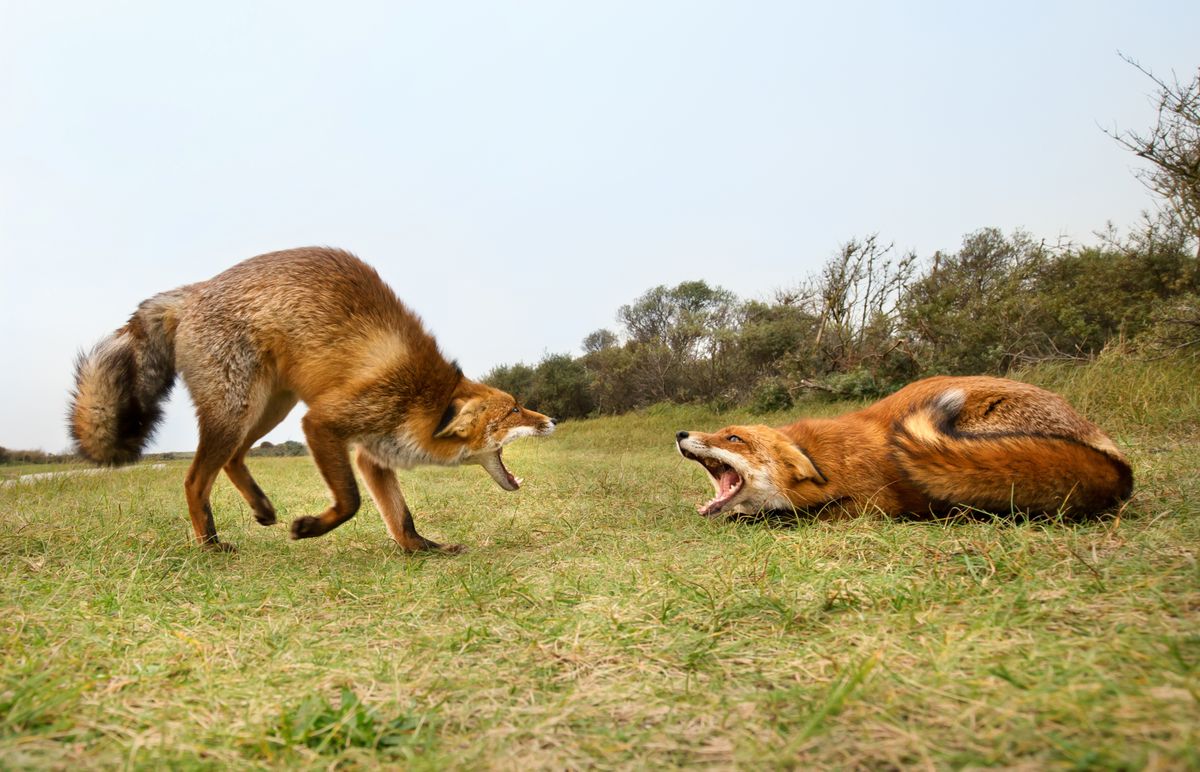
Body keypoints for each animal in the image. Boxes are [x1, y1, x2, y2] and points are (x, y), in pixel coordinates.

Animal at [65, 247, 552, 549]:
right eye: (514, 410)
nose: (551, 420)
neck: (422, 398)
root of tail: (198, 289)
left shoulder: (372, 454)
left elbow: (401, 517)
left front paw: (422, 548)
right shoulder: (324, 423)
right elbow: (351, 502)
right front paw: (311, 528)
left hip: (267, 409)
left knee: (233, 459)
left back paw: (261, 509)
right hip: (238, 410)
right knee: (194, 480)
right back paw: (210, 544)